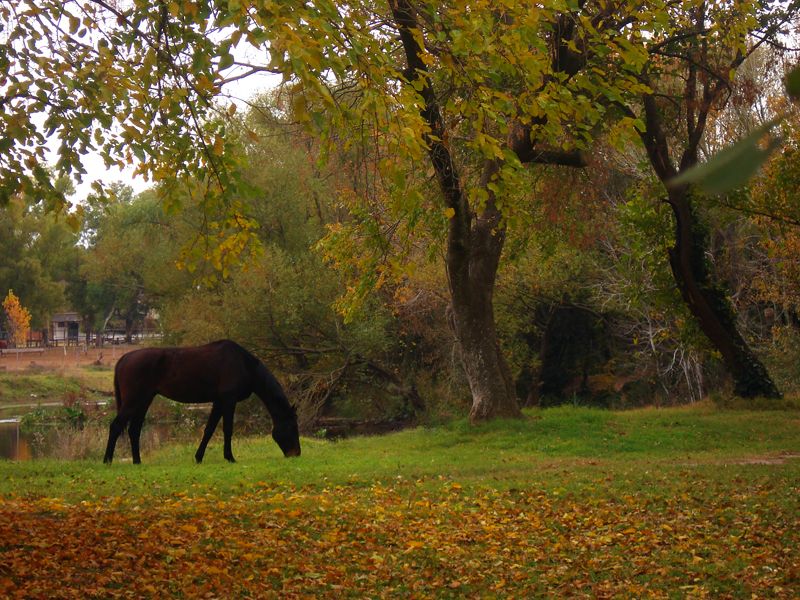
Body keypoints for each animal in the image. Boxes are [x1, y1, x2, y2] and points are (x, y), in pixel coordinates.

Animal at [101, 340, 298, 462]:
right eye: (292, 426)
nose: (296, 453)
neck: (244, 364)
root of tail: (124, 358)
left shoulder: (219, 401)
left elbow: (209, 430)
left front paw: (199, 457)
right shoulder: (228, 400)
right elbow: (228, 429)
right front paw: (230, 457)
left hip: (144, 400)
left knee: (134, 430)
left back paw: (137, 461)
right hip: (133, 401)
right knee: (116, 426)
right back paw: (107, 460)